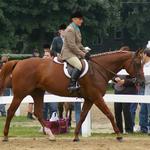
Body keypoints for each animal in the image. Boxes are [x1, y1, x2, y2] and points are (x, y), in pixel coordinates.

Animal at [0, 49, 143, 142]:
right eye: (137, 63)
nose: (140, 81)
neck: (98, 70)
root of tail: (19, 62)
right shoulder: (96, 97)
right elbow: (109, 114)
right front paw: (119, 135)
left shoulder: (89, 99)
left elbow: (83, 116)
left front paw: (75, 136)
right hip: (20, 94)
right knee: (11, 111)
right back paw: (6, 136)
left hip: (37, 93)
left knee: (38, 113)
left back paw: (51, 135)